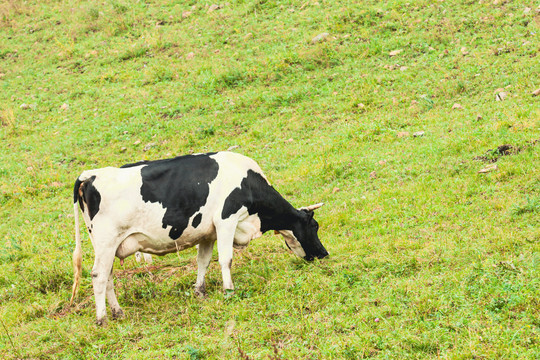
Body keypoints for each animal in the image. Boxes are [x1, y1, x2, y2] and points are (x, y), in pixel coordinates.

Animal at [69, 150, 326, 324]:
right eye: (315, 225)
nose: (325, 253)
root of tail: (90, 175)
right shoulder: (226, 220)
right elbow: (226, 260)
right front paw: (229, 290)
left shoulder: (207, 232)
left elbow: (203, 261)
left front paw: (200, 291)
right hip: (106, 241)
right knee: (98, 275)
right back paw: (102, 318)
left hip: (108, 245)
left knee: (108, 276)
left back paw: (118, 312)